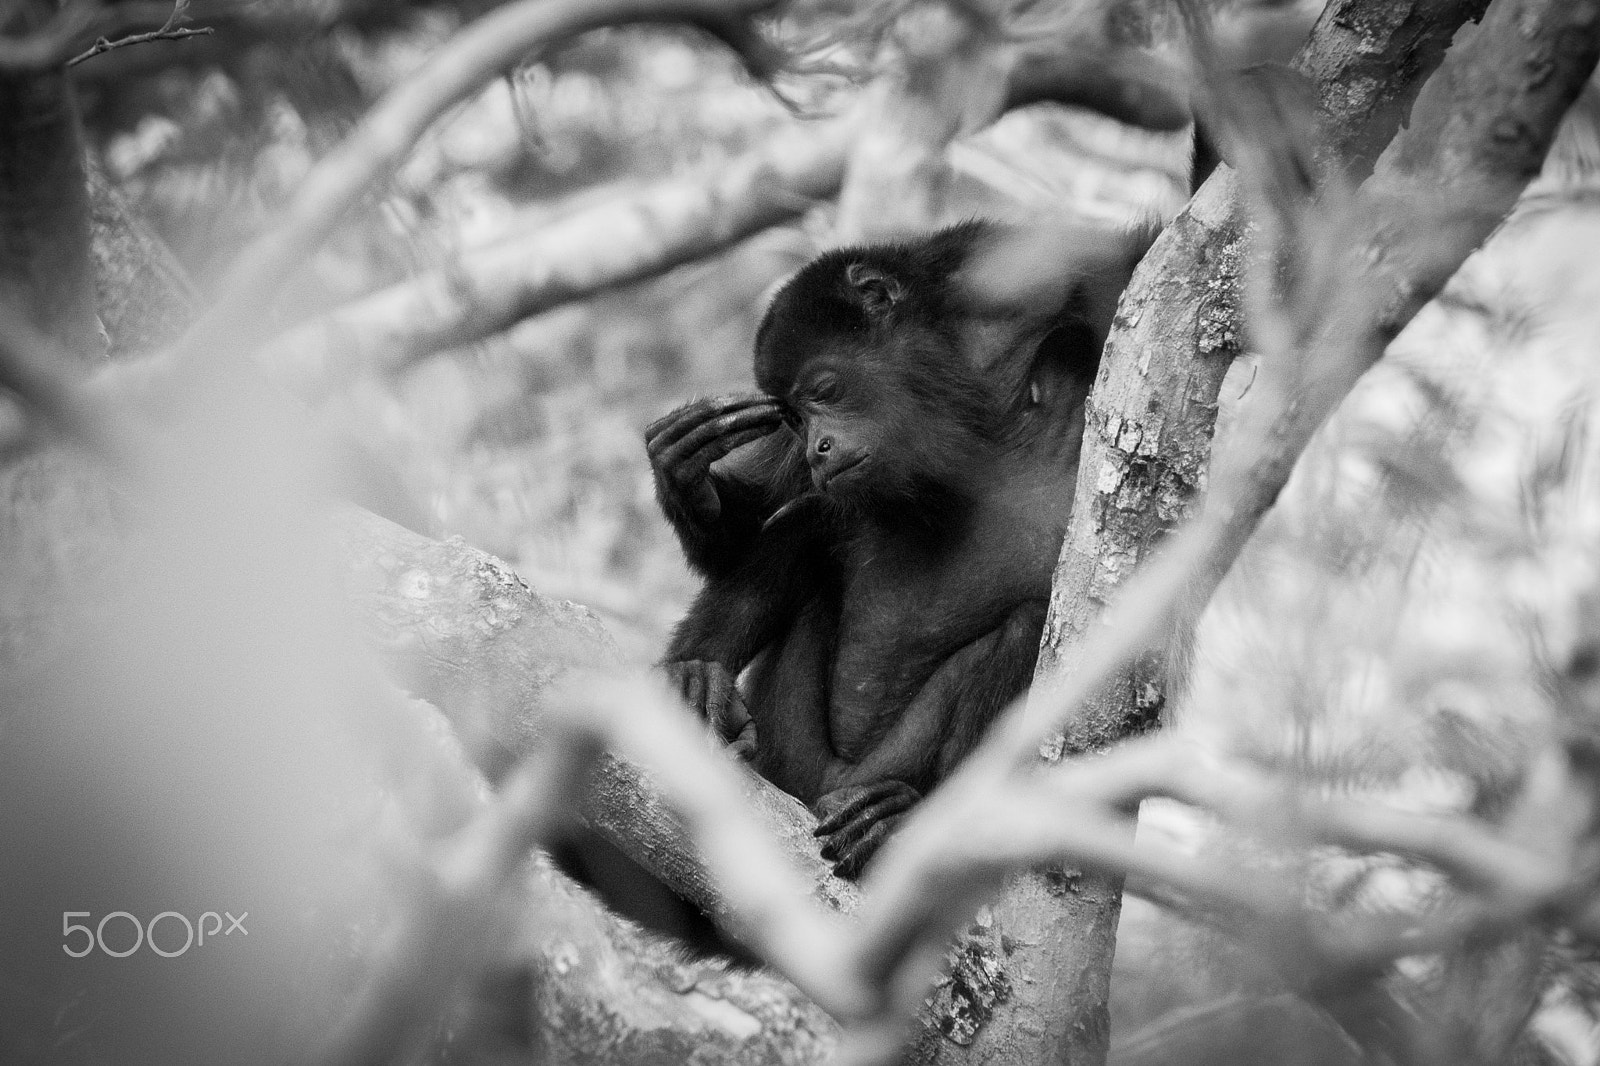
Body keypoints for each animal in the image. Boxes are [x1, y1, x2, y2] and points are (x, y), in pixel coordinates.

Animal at [647, 220, 1150, 877]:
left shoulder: (1030, 274)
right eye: (792, 418)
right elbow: (763, 520)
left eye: (825, 389)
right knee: (804, 529)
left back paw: (900, 819)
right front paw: (685, 475)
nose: (818, 449)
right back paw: (697, 688)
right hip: (795, 756)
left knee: (1028, 624)